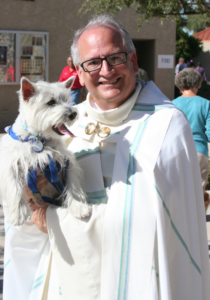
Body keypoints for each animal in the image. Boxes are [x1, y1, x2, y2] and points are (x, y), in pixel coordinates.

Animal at [0, 77, 92, 225]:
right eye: (51, 102)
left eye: (65, 100)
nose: (73, 114)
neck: (38, 139)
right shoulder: (11, 163)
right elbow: (14, 186)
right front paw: (18, 213)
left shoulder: (66, 162)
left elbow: (73, 186)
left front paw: (79, 207)